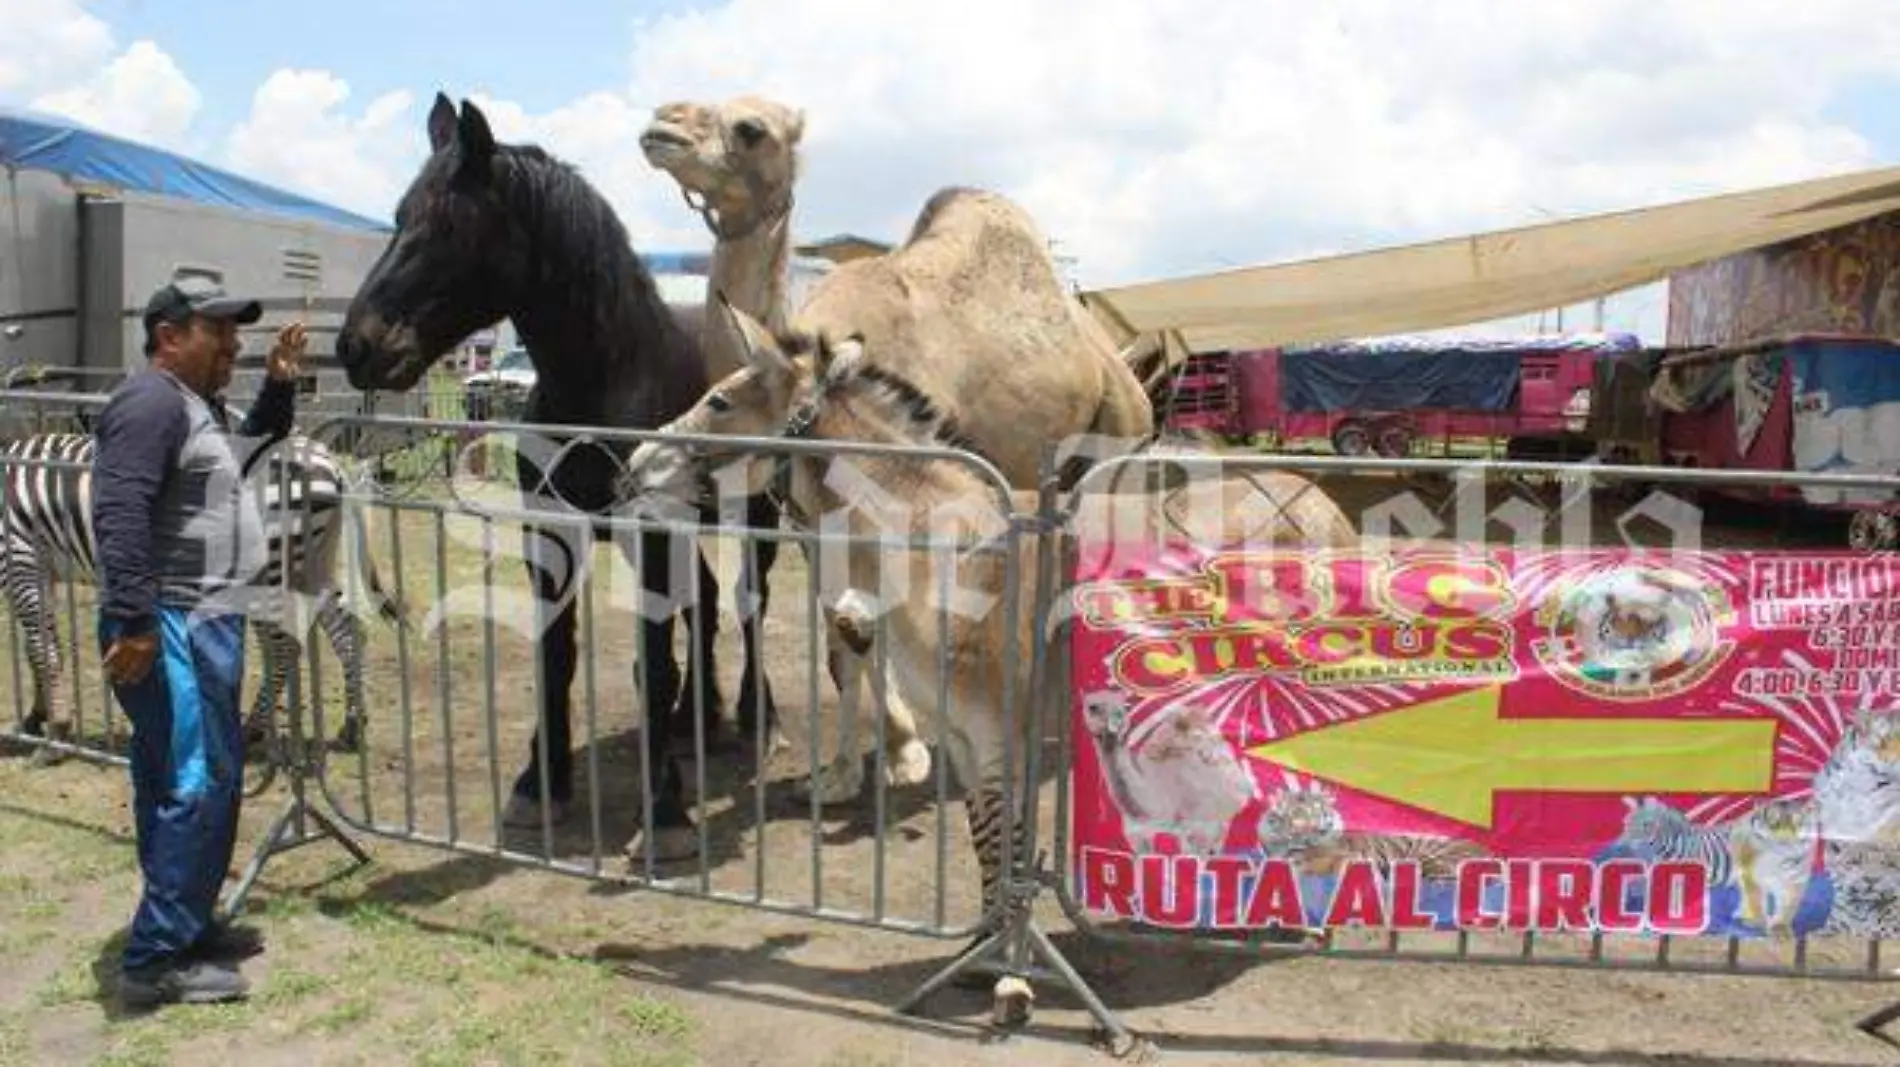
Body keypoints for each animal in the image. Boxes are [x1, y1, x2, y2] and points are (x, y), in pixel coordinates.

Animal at [1, 427, 404, 751]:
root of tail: (330, 462)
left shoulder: (20, 556)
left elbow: (41, 648)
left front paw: (55, 729)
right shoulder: (41, 570)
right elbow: (36, 647)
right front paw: (37, 717)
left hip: (267, 570)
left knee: (283, 648)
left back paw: (252, 730)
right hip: (312, 560)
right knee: (346, 630)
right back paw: (353, 725)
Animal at [334, 91, 771, 854]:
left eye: (451, 225)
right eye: (398, 216)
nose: (359, 346)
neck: (601, 385)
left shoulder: (650, 538)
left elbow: (654, 662)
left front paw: (665, 810)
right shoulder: (551, 536)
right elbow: (556, 656)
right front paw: (540, 783)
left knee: (751, 604)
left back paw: (752, 718)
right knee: (709, 602)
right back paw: (698, 722)